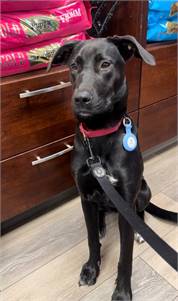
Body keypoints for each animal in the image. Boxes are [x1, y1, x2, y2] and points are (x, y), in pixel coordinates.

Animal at [48, 36, 156, 298]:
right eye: (74, 66)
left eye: (105, 64)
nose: (80, 98)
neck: (98, 135)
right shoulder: (85, 196)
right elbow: (90, 240)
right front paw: (91, 268)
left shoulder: (127, 199)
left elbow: (125, 256)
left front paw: (122, 291)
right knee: (99, 217)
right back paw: (101, 226)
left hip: (143, 191)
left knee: (140, 212)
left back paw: (140, 232)